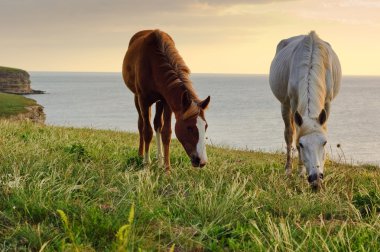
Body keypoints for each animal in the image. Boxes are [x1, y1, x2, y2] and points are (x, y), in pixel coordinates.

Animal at [122, 29, 209, 171]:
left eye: (205, 126)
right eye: (189, 127)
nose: (201, 161)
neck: (153, 63)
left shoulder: (167, 101)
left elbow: (166, 133)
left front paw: (167, 168)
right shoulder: (144, 100)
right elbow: (147, 131)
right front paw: (146, 166)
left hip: (159, 102)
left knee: (157, 124)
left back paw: (160, 160)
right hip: (137, 98)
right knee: (141, 124)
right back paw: (141, 155)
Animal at [268, 31, 342, 189]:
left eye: (324, 143)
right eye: (301, 145)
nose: (315, 179)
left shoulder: (327, 103)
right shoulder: (294, 102)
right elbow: (294, 135)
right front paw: (300, 172)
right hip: (285, 104)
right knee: (289, 134)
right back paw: (288, 169)